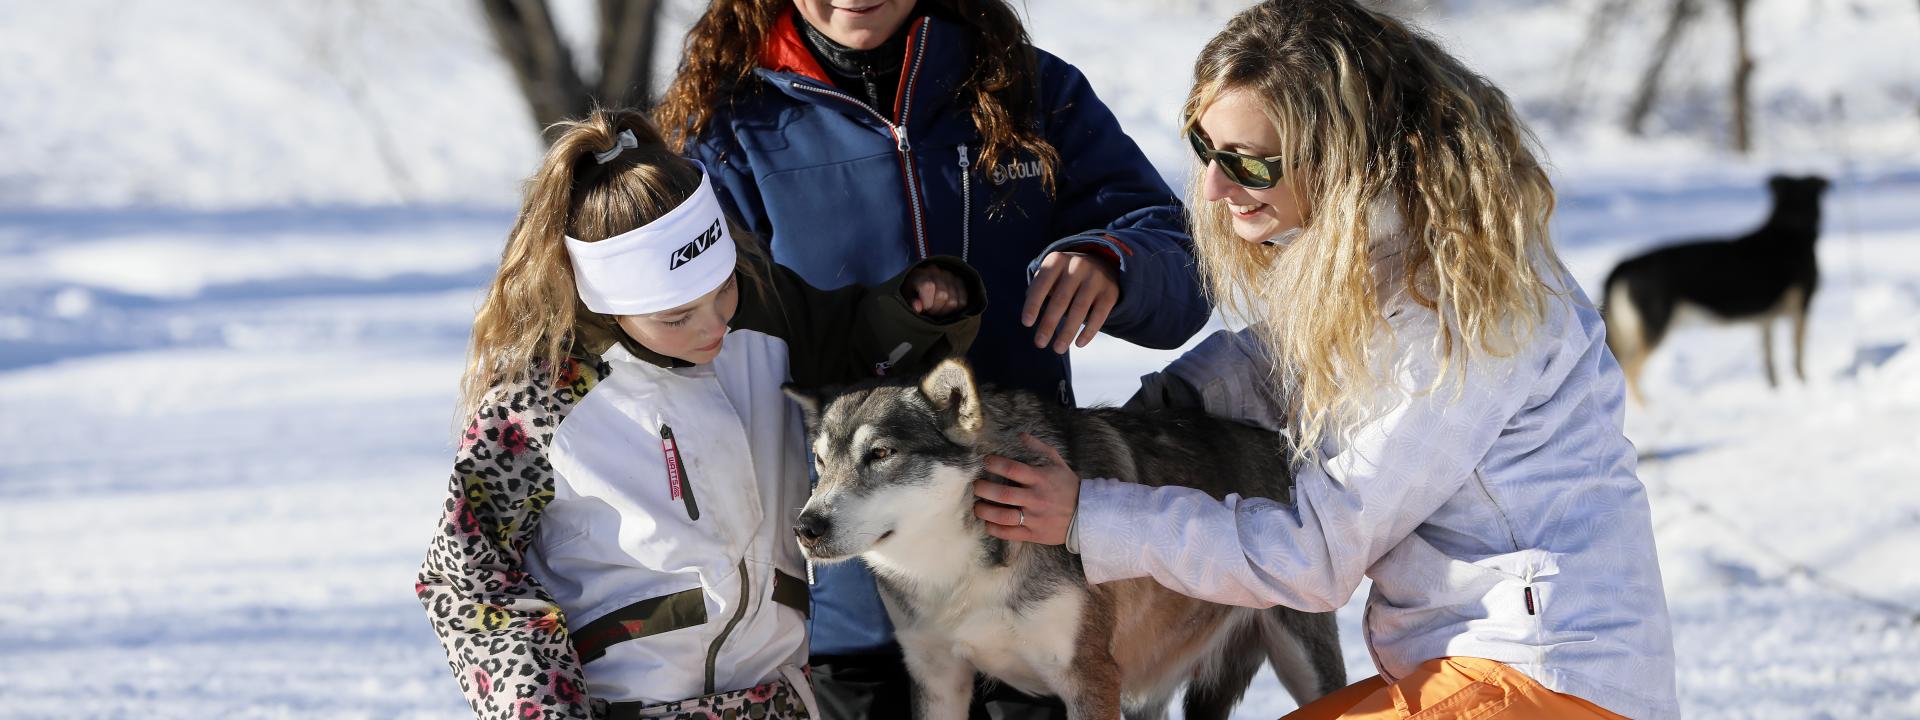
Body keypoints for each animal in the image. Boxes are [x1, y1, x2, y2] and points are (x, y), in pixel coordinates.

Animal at [779, 362, 1336, 720]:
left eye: (880, 453)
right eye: (821, 461)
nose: (806, 528)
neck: (962, 568)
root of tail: (1285, 445)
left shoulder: (1090, 679)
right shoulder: (938, 678)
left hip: (1306, 663)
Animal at [1605, 172, 1827, 403]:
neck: (1790, 228)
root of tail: (1625, 264)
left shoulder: (1766, 320)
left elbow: (1769, 360)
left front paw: (1775, 390)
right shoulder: (1801, 309)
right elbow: (1798, 355)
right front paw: (1803, 387)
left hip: (1631, 332)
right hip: (1654, 327)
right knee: (1631, 371)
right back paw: (1651, 407)